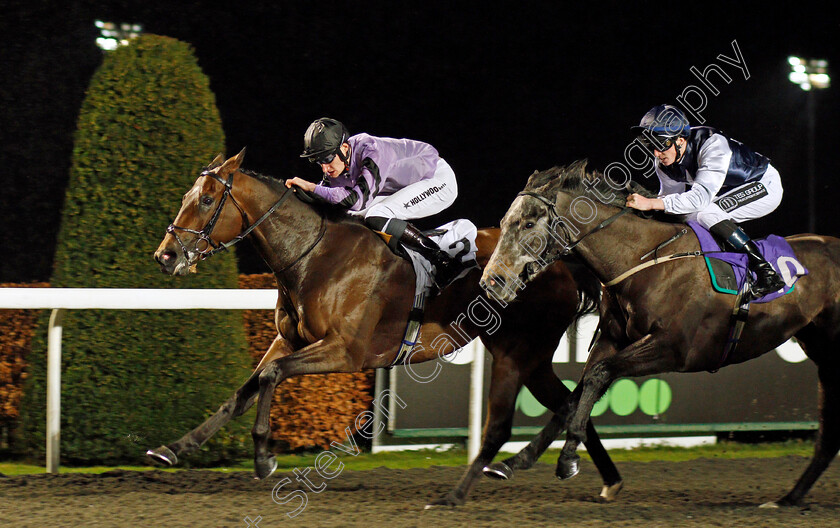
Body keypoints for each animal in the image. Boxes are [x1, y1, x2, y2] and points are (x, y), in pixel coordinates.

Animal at [151, 151, 624, 506]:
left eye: (207, 200)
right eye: (187, 195)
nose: (166, 256)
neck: (315, 254)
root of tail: (562, 263)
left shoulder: (345, 351)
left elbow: (270, 376)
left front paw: (264, 456)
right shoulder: (289, 340)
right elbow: (240, 394)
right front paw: (172, 448)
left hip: (521, 351)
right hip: (532, 358)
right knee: (569, 403)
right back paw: (603, 478)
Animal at [480, 161, 840, 508]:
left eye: (528, 224)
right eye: (504, 221)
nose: (491, 281)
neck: (644, 259)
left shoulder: (673, 349)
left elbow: (598, 375)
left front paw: (567, 459)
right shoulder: (612, 340)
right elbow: (574, 395)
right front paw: (513, 462)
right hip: (821, 351)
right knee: (828, 435)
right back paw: (789, 499)